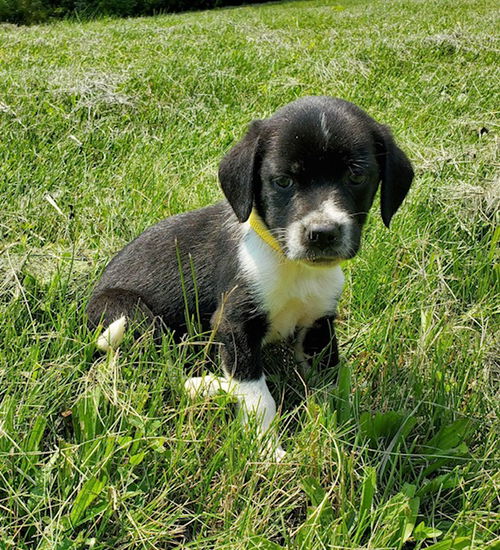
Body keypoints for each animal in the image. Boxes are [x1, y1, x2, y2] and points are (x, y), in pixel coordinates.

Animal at [87, 96, 414, 462]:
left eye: (356, 176)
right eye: (283, 181)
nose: (322, 233)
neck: (292, 266)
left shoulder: (319, 325)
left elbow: (329, 384)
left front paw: (335, 430)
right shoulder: (235, 324)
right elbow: (258, 397)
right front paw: (269, 450)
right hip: (132, 314)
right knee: (165, 364)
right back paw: (207, 386)